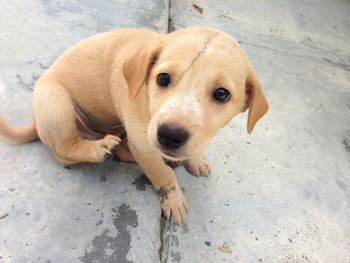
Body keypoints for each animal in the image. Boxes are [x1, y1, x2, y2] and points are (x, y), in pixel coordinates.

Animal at [0, 26, 268, 225]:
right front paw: (173, 198)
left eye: (222, 94)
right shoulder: (143, 141)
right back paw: (96, 149)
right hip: (57, 103)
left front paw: (195, 159)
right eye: (163, 78)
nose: (169, 136)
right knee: (64, 149)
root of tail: (35, 122)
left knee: (123, 151)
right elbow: (163, 174)